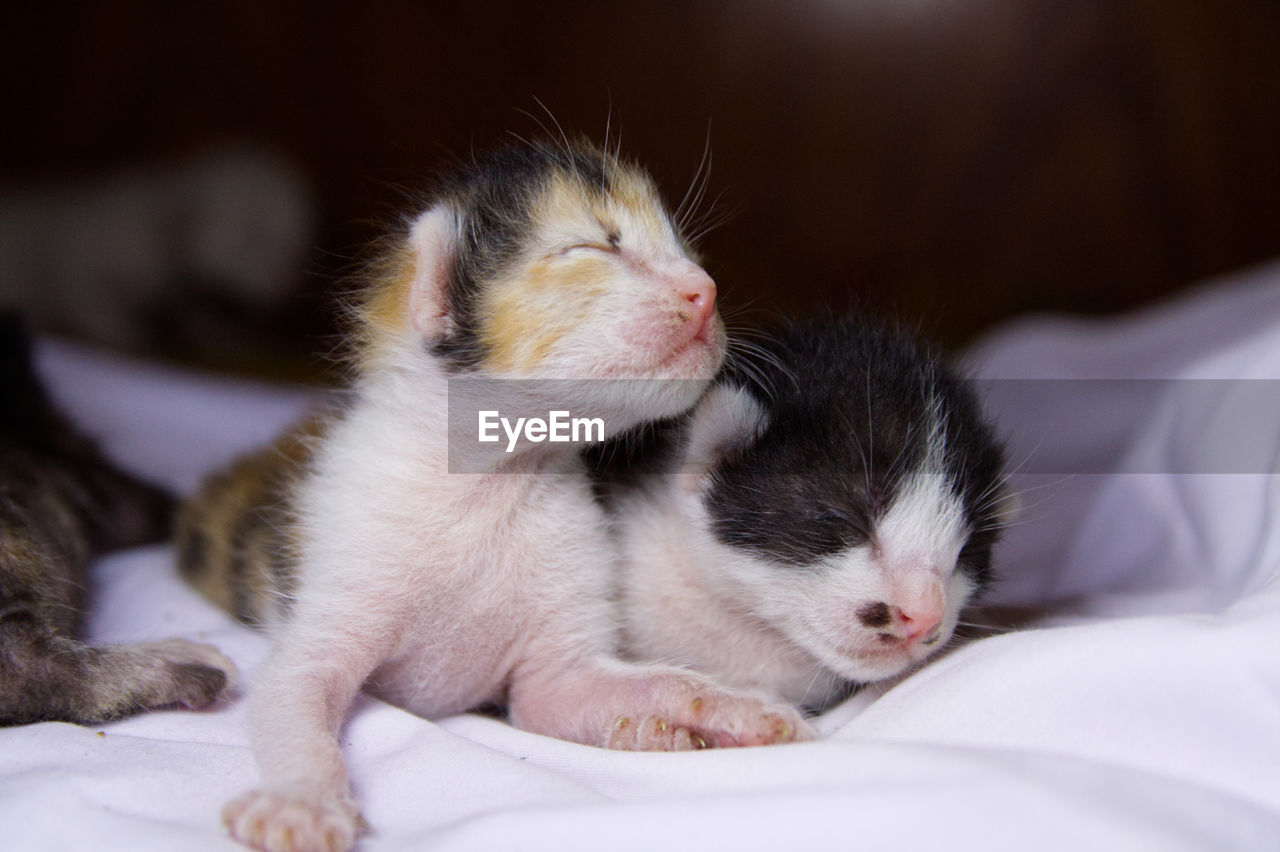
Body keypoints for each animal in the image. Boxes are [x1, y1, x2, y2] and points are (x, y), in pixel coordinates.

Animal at [177, 139, 808, 849]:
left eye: (685, 249)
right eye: (591, 248)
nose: (706, 290)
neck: (493, 481)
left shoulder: (559, 659)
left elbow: (576, 694)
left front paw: (737, 708)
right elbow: (295, 694)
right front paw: (300, 800)